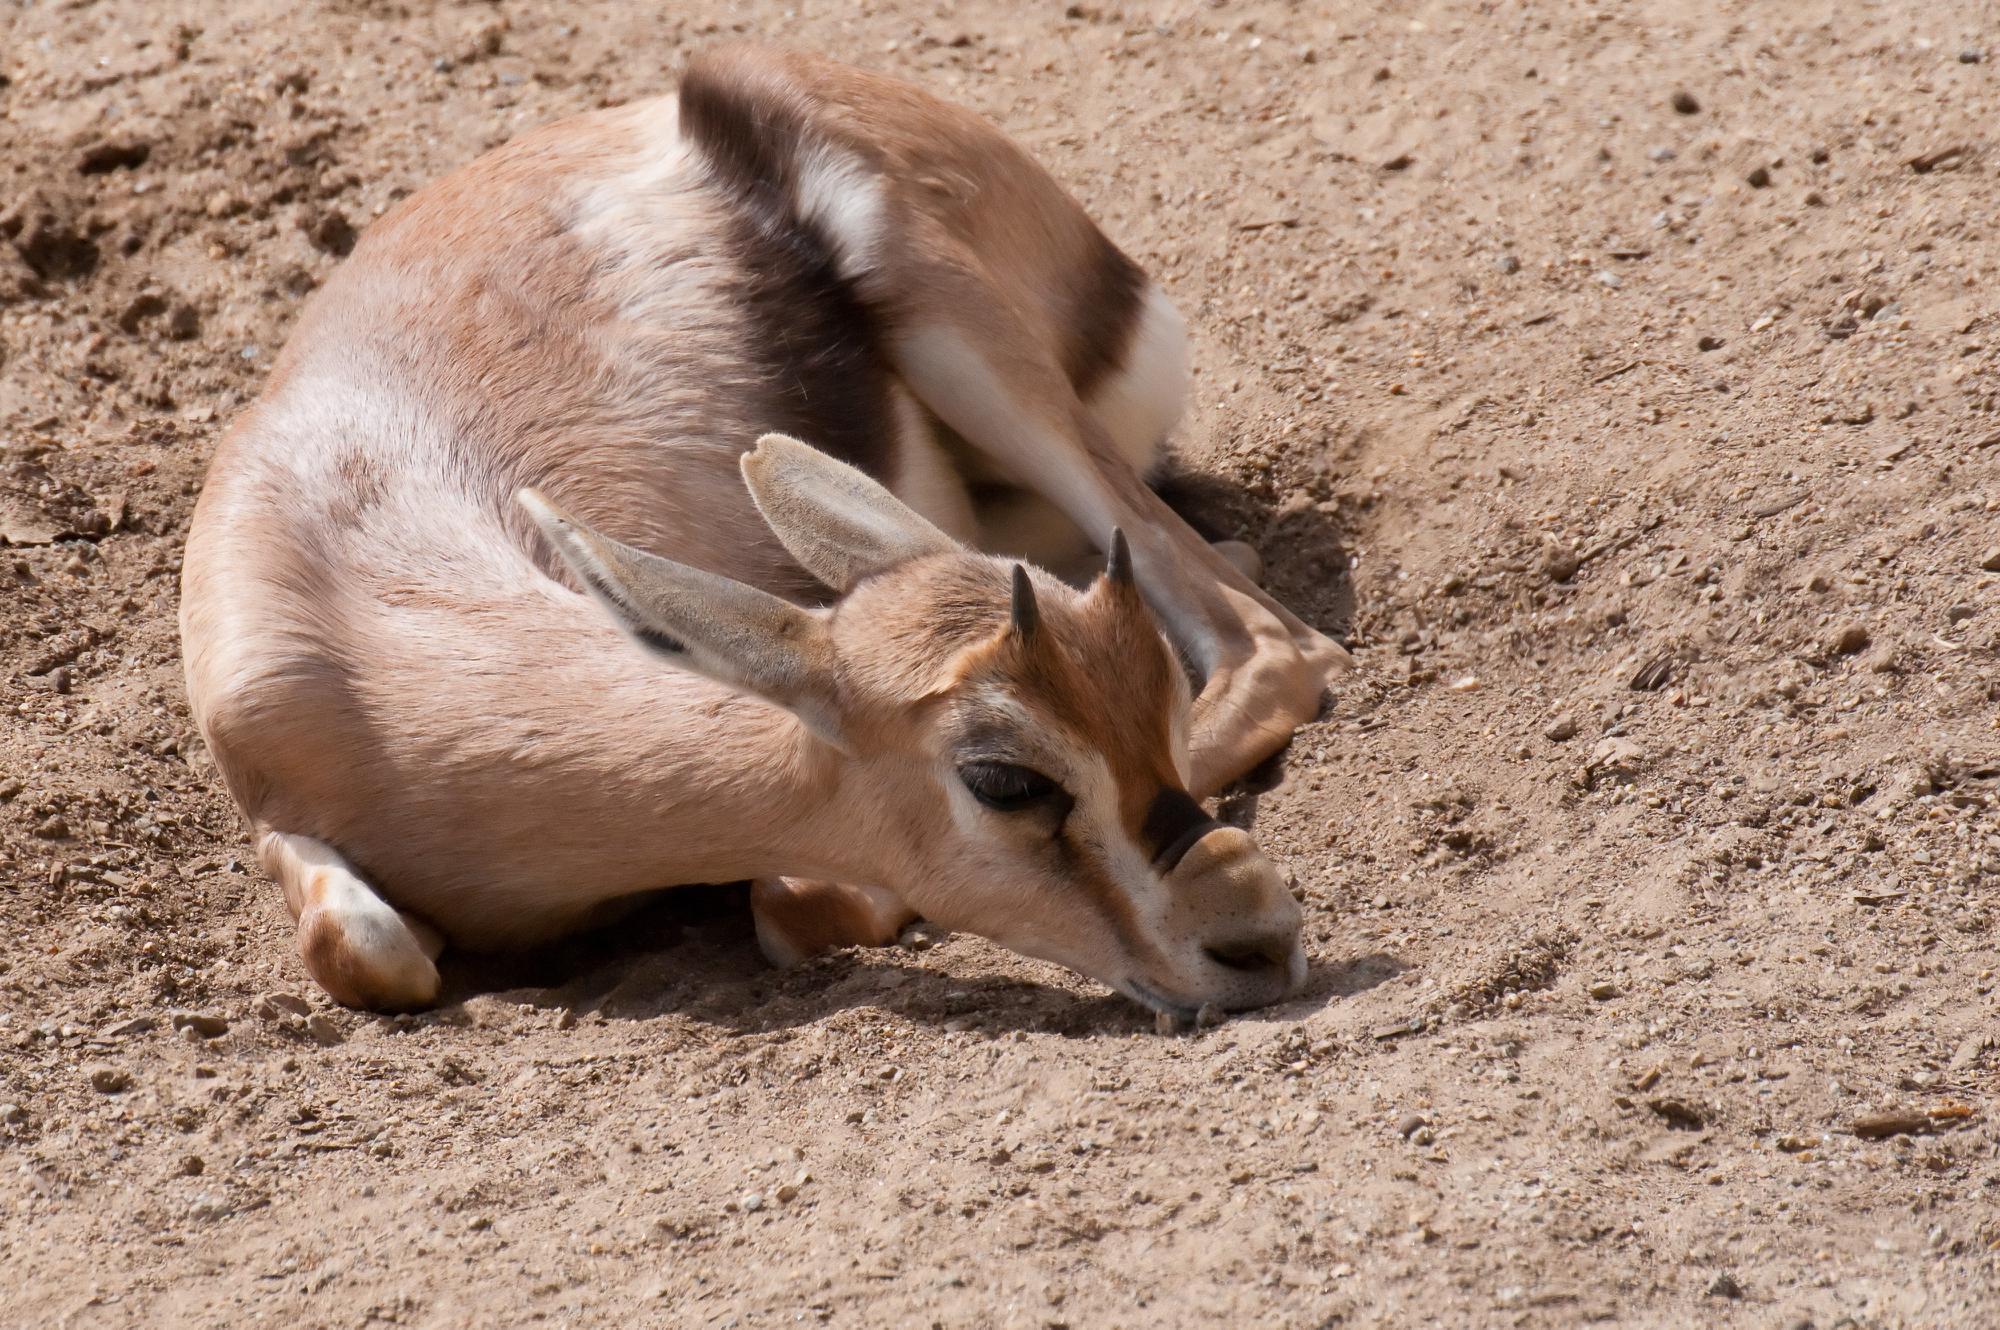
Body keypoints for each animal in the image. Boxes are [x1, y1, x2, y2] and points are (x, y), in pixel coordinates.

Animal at [180, 44, 1352, 1016]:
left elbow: (794, 898)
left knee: (1274, 644)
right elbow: (367, 951)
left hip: (966, 342)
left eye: (1152, 711)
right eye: (1003, 778)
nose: (1256, 935)